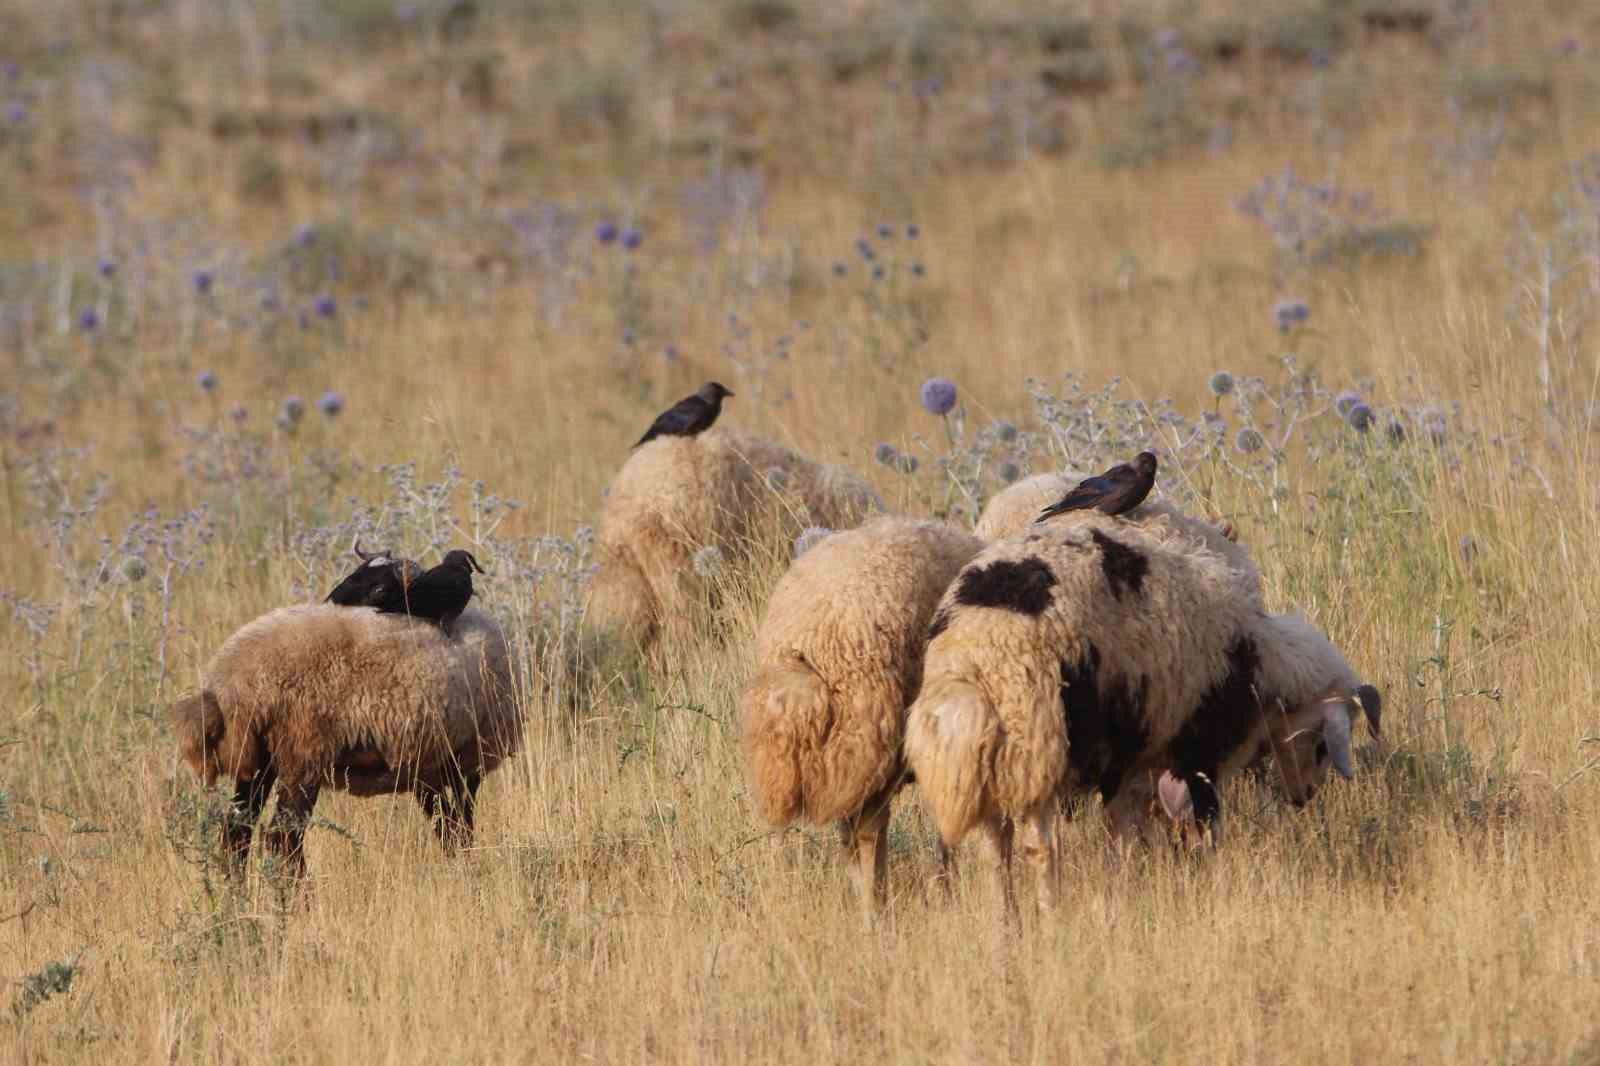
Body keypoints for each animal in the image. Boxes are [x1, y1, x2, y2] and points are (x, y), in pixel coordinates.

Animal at [170, 601, 518, 877]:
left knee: (237, 833)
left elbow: (448, 831)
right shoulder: (464, 766)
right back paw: (301, 906)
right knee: (282, 837)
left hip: (259, 761)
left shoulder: (429, 772)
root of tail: (228, 683)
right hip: (302, 754)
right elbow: (460, 831)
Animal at [739, 512, 985, 909]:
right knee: (867, 831)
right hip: (870, 739)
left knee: (823, 833)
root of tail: (806, 644)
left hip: (821, 755)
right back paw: (874, 907)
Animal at [908, 512, 1382, 902]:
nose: (1303, 798)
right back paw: (1050, 919)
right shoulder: (1197, 754)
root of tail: (975, 657)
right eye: (1321, 745)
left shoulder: (1132, 760)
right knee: (1038, 847)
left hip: (989, 761)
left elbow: (1127, 831)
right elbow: (1202, 828)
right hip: (1041, 746)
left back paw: (1006, 927)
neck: (1262, 661)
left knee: (994, 851)